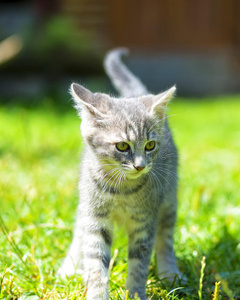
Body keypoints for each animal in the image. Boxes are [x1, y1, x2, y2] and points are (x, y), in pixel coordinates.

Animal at [58, 48, 182, 298]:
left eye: (150, 146)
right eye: (123, 146)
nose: (140, 165)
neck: (121, 190)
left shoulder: (145, 222)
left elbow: (139, 264)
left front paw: (135, 294)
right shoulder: (95, 220)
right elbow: (95, 262)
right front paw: (96, 293)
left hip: (168, 201)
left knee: (165, 238)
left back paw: (169, 272)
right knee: (79, 233)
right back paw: (69, 267)